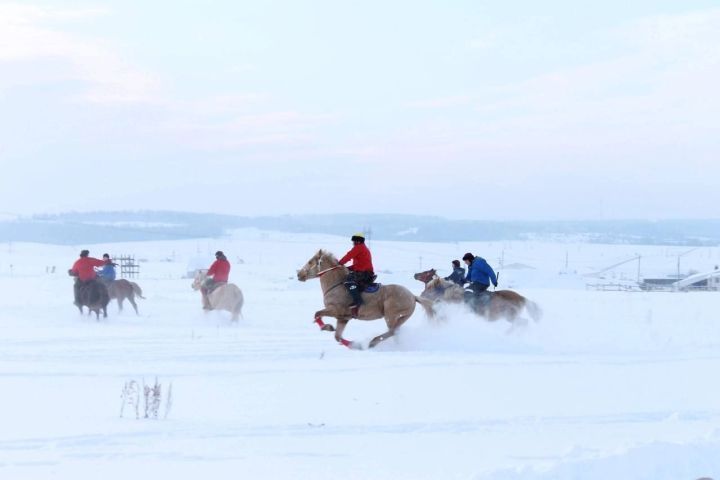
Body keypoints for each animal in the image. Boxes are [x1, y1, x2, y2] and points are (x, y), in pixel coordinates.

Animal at [296, 249, 436, 346]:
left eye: (310, 261)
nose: (299, 274)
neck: (335, 285)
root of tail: (412, 296)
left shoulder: (335, 310)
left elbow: (317, 314)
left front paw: (327, 327)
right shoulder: (343, 318)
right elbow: (337, 336)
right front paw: (354, 345)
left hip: (390, 316)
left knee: (391, 332)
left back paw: (373, 342)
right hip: (401, 318)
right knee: (395, 333)